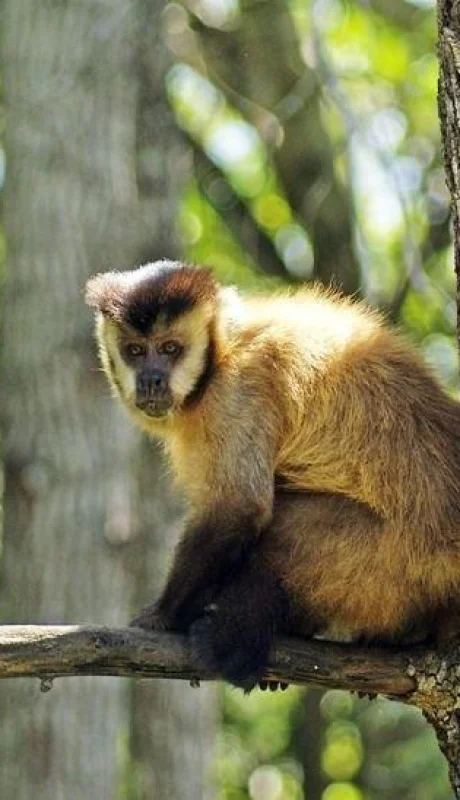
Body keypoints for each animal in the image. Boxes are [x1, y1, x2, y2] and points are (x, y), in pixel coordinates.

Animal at [85, 260, 460, 691]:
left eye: (169, 349)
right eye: (134, 351)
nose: (151, 378)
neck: (224, 353)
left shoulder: (236, 392)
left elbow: (239, 507)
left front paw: (165, 616)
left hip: (405, 555)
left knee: (285, 529)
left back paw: (232, 646)